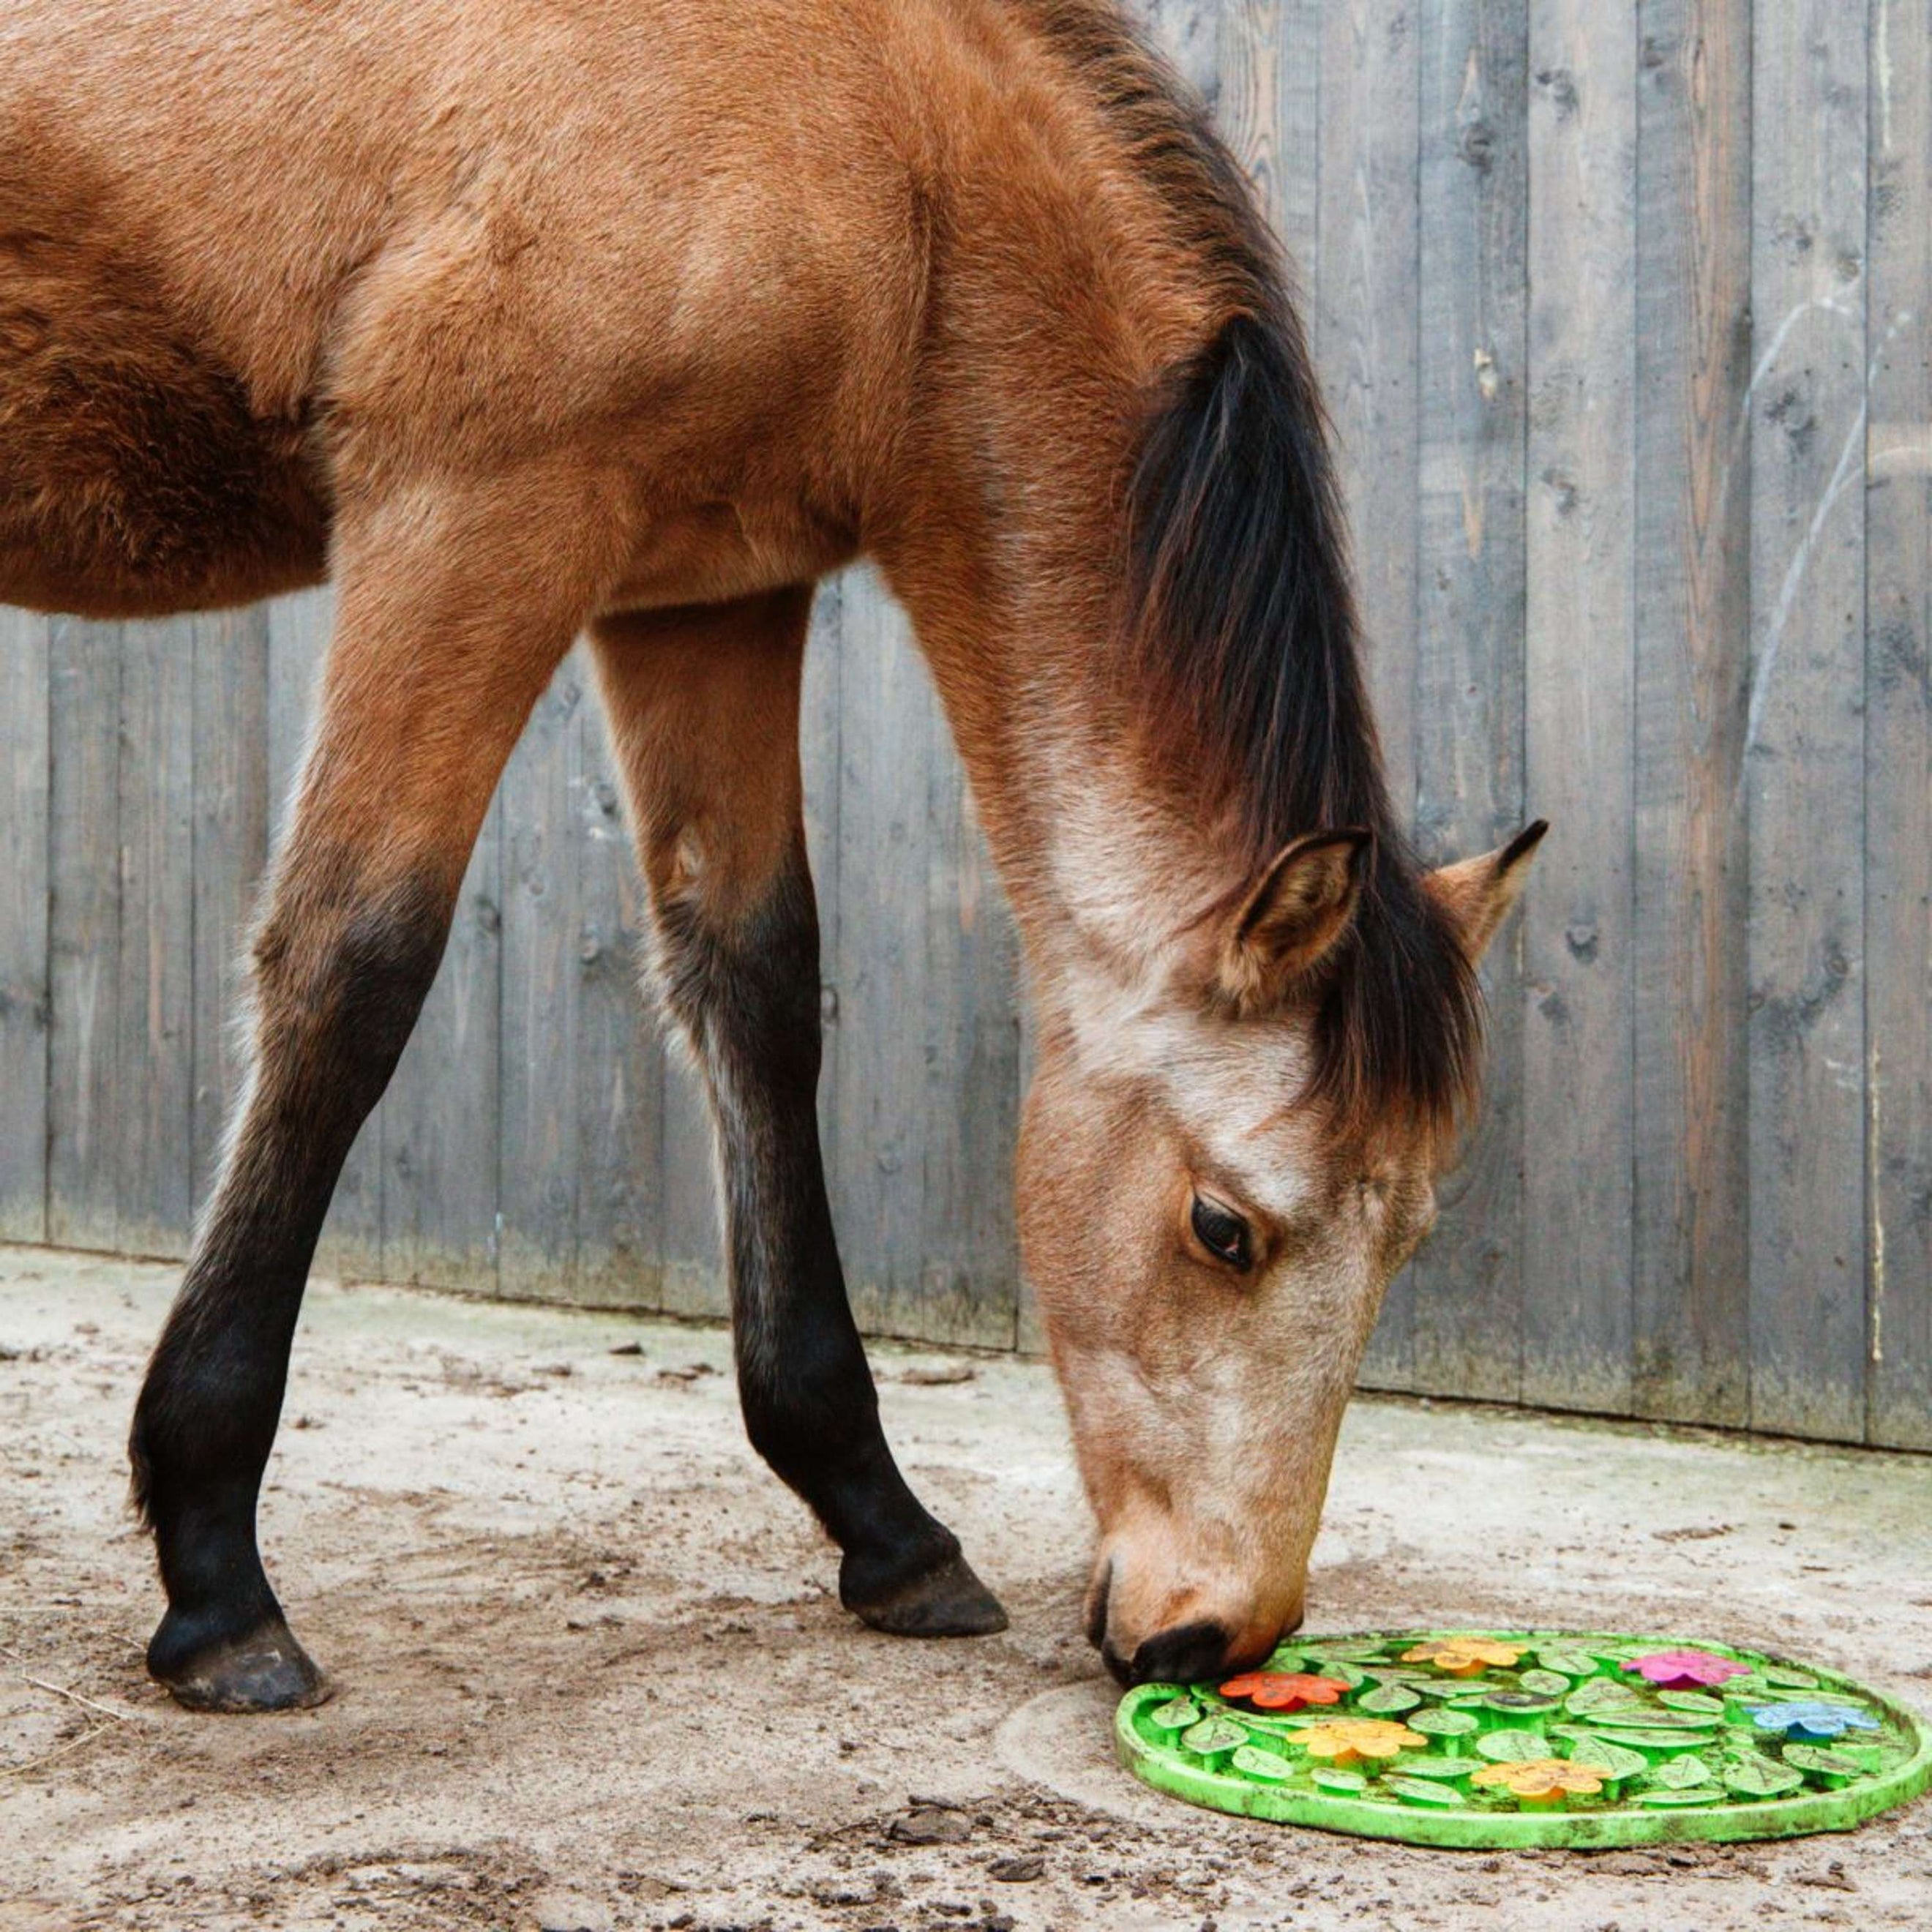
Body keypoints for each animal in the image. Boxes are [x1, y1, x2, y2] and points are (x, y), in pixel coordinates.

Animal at [2, 0, 1544, 1712]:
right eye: (1227, 1228)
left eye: (1407, 1235)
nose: (1216, 1635)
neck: (882, 130)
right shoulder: (471, 521)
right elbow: (353, 968)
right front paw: (216, 1571)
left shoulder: (704, 593)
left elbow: (755, 984)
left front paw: (883, 1522)